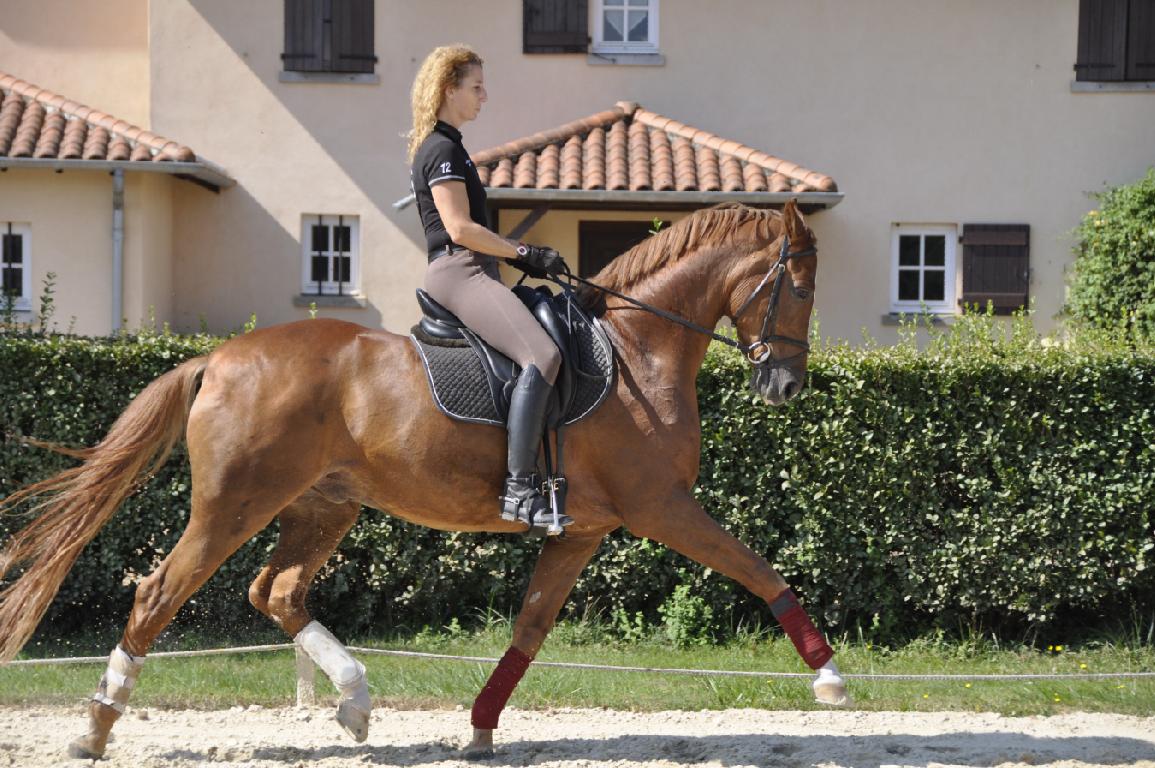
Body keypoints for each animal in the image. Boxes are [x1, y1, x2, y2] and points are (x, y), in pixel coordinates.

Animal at [0, 200, 850, 757]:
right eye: (802, 288)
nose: (785, 386)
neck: (638, 352)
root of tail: (219, 357)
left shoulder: (582, 530)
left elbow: (530, 628)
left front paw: (479, 727)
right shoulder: (660, 507)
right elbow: (759, 569)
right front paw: (830, 677)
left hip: (323, 505)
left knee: (276, 591)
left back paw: (354, 704)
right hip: (232, 505)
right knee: (158, 593)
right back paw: (97, 724)